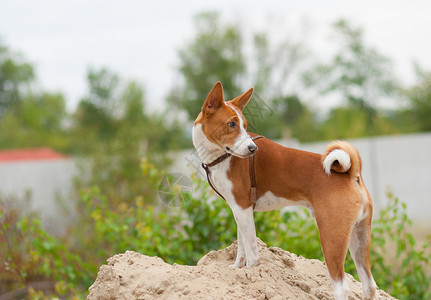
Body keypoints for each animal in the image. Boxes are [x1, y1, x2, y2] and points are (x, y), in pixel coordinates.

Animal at [192, 81, 378, 298]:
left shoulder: (242, 207)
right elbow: (241, 246)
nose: (252, 149)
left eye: (244, 126)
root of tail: (352, 173)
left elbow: (251, 251)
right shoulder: (239, 208)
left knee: (341, 286)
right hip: (359, 236)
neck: (221, 157)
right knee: (369, 285)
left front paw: (251, 273)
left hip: (331, 236)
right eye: (232, 124)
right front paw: (238, 269)